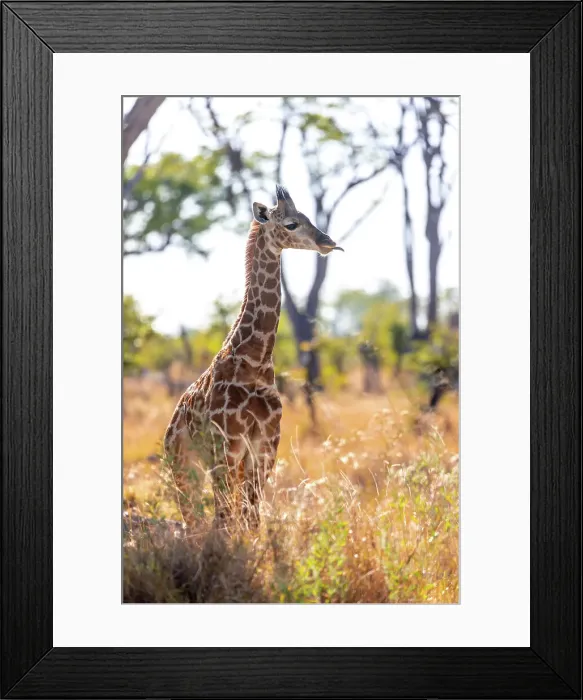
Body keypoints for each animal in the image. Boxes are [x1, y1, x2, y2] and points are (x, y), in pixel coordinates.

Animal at [163, 185, 343, 530]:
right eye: (291, 224)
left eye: (308, 217)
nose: (328, 242)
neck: (256, 360)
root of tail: (170, 426)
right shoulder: (228, 444)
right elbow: (228, 517)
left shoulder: (266, 444)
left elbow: (252, 517)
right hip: (183, 463)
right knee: (195, 517)